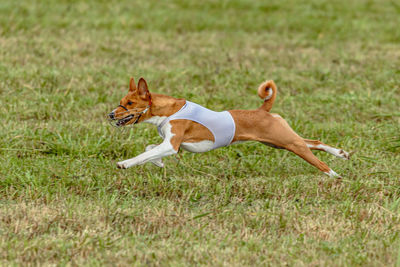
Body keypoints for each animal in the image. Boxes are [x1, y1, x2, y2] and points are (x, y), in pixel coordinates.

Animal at [108, 78, 348, 178]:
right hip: (279, 142)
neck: (169, 111)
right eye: (121, 101)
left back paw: (335, 176)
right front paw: (158, 162)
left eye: (129, 103)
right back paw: (341, 153)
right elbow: (149, 149)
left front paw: (124, 163)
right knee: (315, 143)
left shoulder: (172, 144)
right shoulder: (169, 144)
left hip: (287, 142)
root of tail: (263, 110)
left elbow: (142, 154)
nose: (110, 114)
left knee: (318, 160)